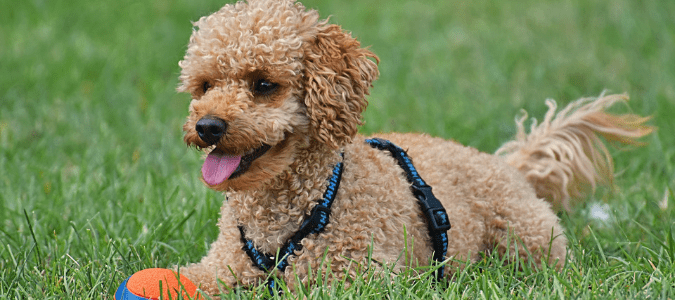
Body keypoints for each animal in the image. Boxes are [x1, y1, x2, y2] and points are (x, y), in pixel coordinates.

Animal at [174, 0, 656, 296]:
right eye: (205, 85)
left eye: (263, 84)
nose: (207, 126)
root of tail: (511, 167)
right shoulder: (221, 267)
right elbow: (190, 278)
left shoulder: (361, 279)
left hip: (526, 242)